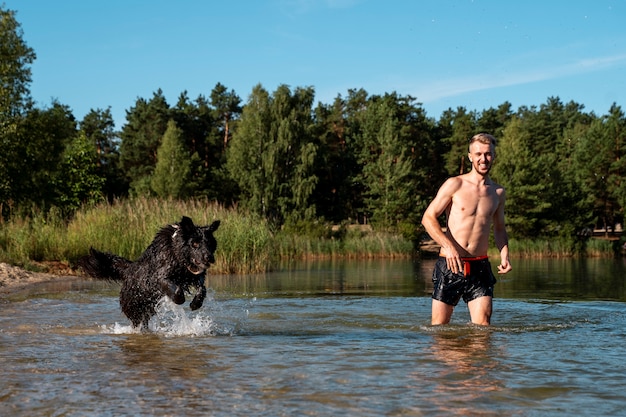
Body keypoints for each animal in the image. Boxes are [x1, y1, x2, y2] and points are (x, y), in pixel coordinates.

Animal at [78, 214, 219, 328]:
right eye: (195, 243)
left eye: (209, 243)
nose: (209, 257)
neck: (177, 253)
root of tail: (128, 270)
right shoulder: (160, 277)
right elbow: (177, 290)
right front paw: (179, 299)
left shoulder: (194, 277)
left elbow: (202, 289)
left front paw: (196, 304)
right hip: (135, 308)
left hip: (148, 308)